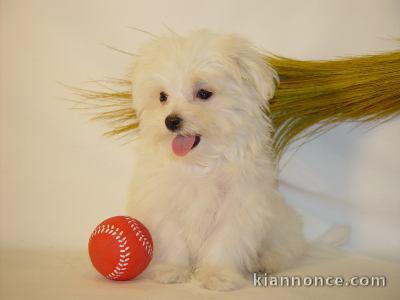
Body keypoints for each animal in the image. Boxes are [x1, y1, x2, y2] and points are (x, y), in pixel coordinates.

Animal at [128, 30, 306, 290]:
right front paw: (172, 270)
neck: (199, 163)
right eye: (162, 96)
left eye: (204, 93)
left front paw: (217, 275)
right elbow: (173, 239)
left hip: (281, 227)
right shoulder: (164, 203)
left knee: (286, 248)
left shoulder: (239, 205)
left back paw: (267, 261)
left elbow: (224, 241)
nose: (171, 121)